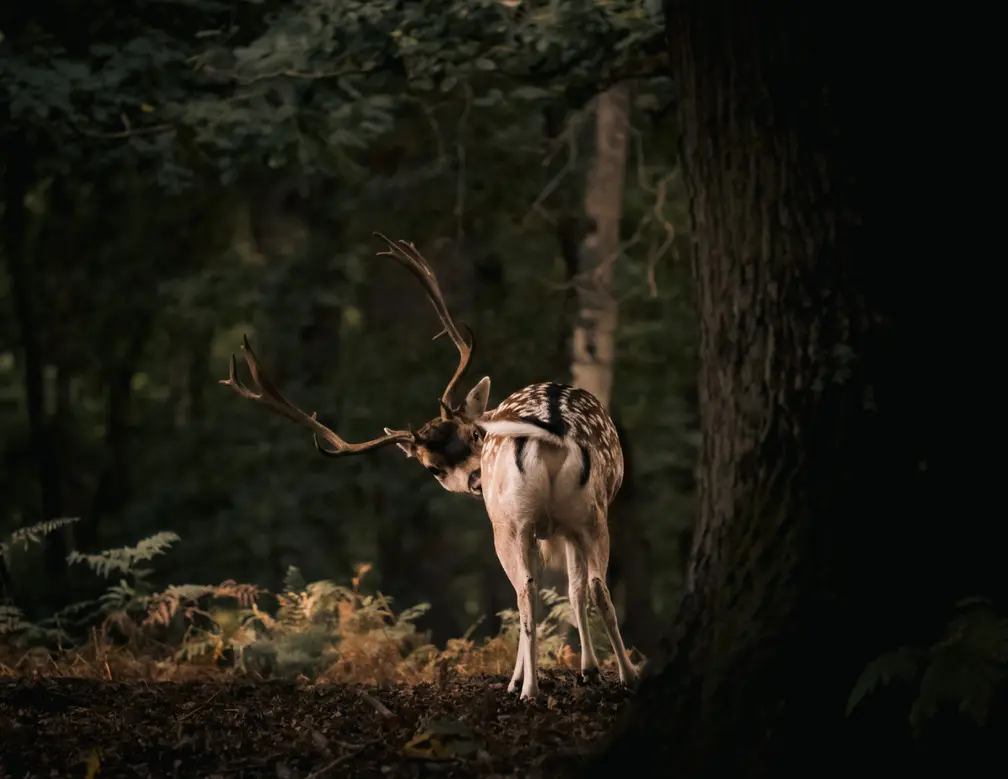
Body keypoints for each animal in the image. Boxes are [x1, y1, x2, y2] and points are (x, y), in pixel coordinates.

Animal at [220, 233, 639, 700]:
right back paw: (606, 678)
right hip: (571, 514)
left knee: (533, 592)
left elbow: (567, 589)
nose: (475, 480)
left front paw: (564, 672)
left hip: (530, 519)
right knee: (575, 588)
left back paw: (546, 685)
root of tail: (550, 427)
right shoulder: (560, 529)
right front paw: (586, 670)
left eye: (474, 435)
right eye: (432, 468)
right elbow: (573, 589)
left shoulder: (543, 526)